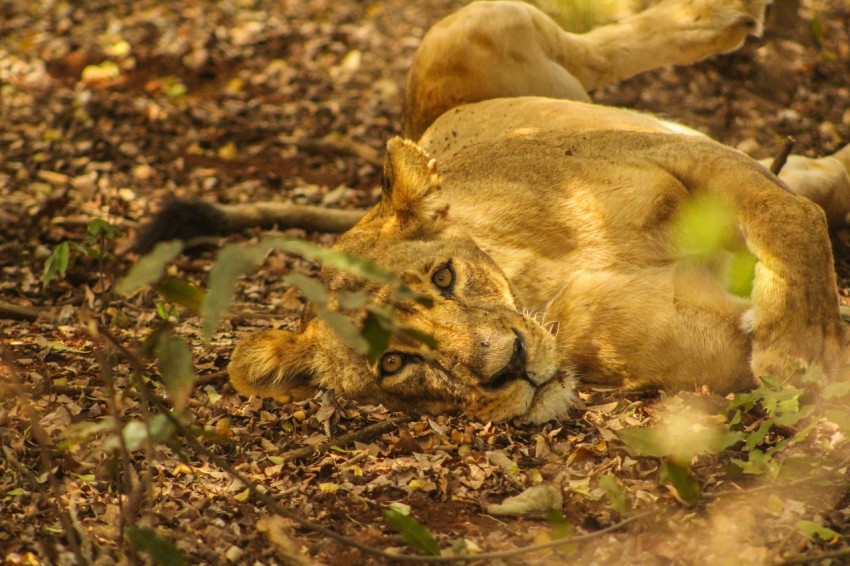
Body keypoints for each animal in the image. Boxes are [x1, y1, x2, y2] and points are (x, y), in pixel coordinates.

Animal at [146, 0, 850, 423]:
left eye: (444, 278)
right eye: (393, 363)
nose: (506, 366)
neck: (536, 278)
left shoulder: (676, 153)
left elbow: (787, 218)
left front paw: (802, 345)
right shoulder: (707, 352)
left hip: (468, 31)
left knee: (602, 46)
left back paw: (725, 15)